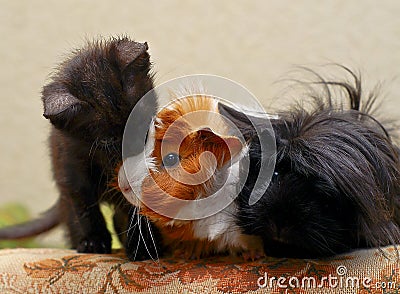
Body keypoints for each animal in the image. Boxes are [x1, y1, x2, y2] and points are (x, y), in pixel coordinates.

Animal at [0, 35, 159, 258]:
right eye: (108, 142)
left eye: (141, 125)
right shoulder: (71, 169)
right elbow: (84, 208)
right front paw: (94, 241)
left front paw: (142, 246)